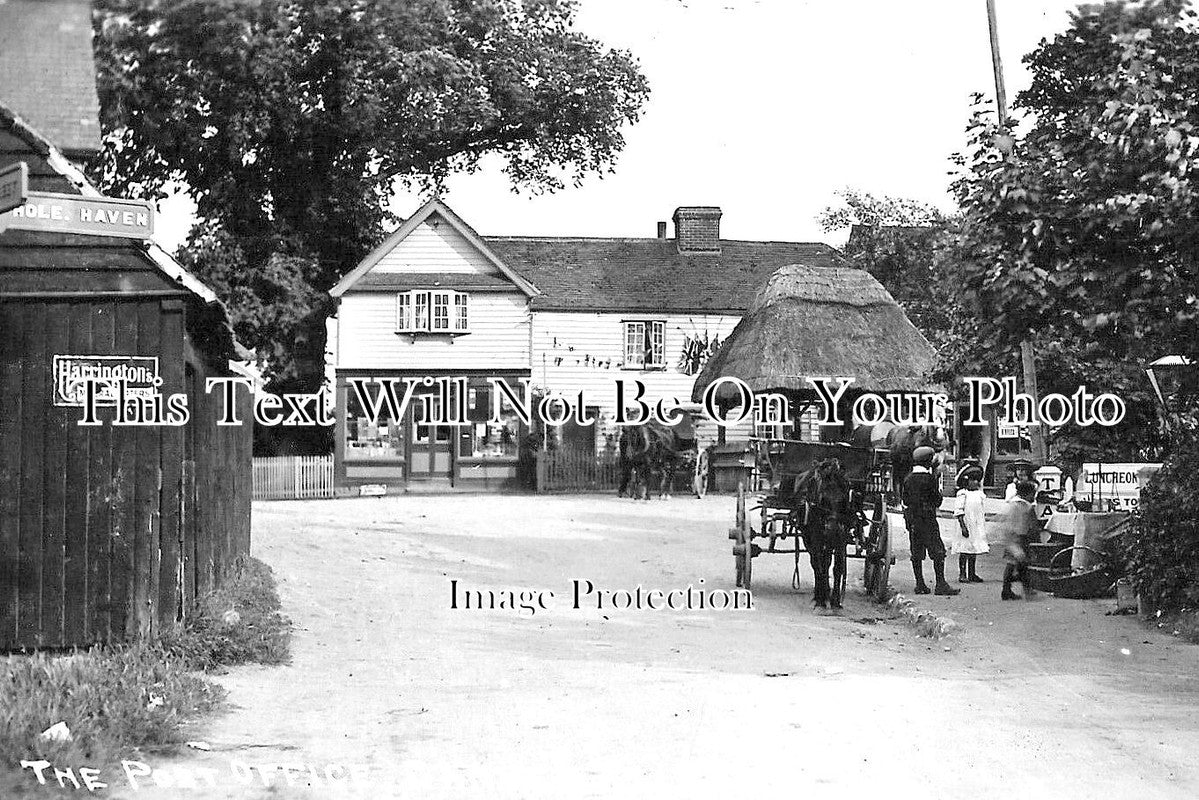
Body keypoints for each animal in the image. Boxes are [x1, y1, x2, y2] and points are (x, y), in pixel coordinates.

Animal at [786, 460, 853, 609]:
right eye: (823, 500)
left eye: (843, 500)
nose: (833, 530)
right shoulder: (816, 537)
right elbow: (819, 564)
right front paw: (821, 599)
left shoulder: (842, 538)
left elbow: (838, 566)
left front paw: (835, 600)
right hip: (808, 537)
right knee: (818, 562)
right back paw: (820, 594)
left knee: (826, 561)